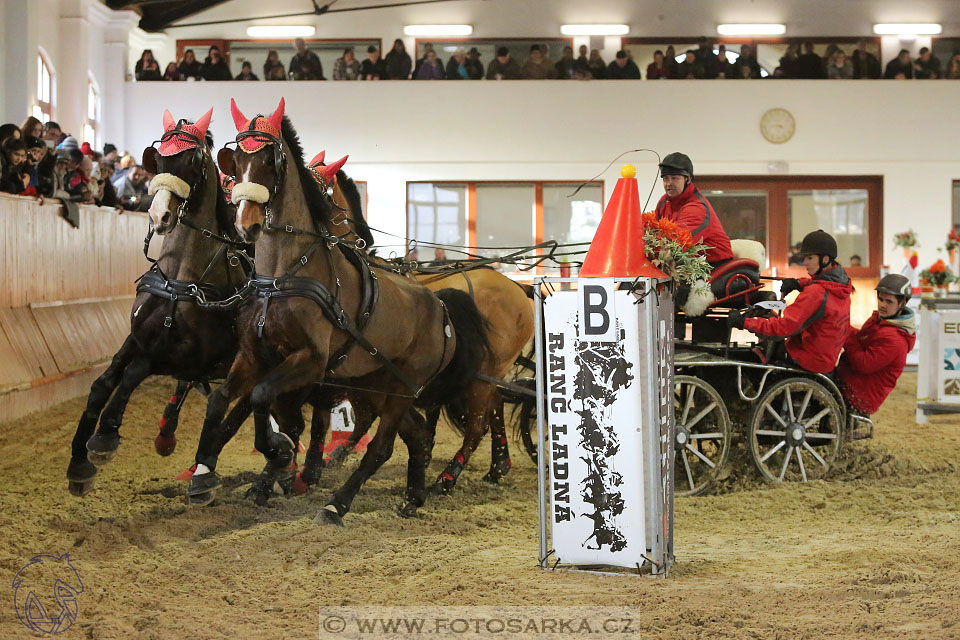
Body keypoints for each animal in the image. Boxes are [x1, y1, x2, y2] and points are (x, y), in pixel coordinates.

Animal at [188, 97, 492, 524]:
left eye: (269, 160)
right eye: (237, 161)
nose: (245, 223)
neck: (282, 275)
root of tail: (441, 307)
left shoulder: (310, 361)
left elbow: (263, 398)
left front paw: (279, 454)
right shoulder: (253, 354)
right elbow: (223, 400)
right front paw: (204, 476)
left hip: (402, 387)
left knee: (382, 447)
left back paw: (339, 503)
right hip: (378, 382)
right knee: (417, 434)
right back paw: (413, 497)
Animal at [302, 152, 532, 492]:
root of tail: (517, 287)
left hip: (487, 370)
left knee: (480, 422)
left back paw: (449, 477)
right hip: (488, 371)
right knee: (495, 406)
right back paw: (497, 466)